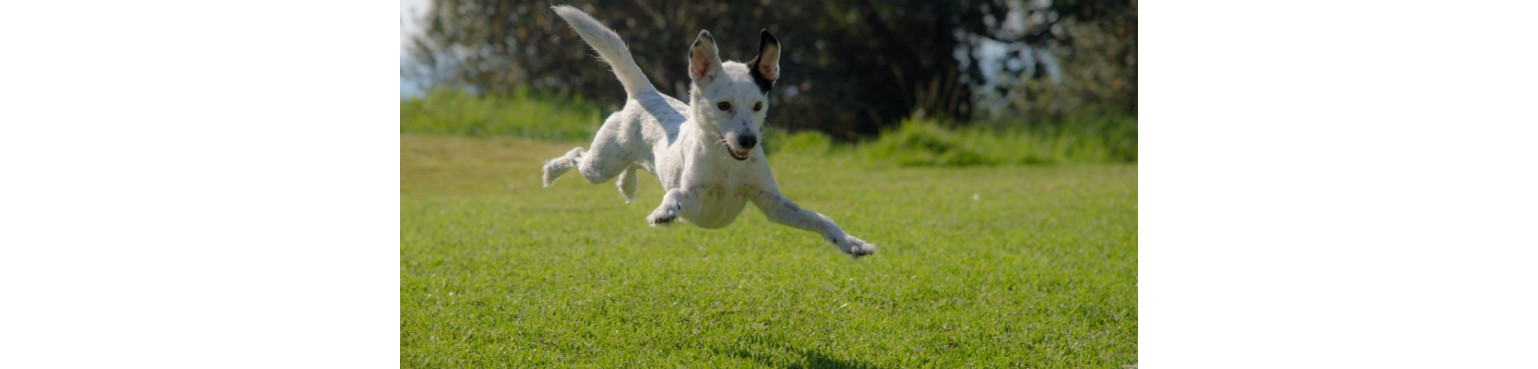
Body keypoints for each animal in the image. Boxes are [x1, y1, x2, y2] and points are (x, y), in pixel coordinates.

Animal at [541, 5, 879, 256]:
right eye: (724, 105)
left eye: (758, 105)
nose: (748, 140)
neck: (728, 164)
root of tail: (646, 94)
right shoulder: (695, 198)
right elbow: (675, 193)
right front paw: (664, 211)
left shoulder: (773, 204)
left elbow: (820, 218)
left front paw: (852, 242)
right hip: (600, 165)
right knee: (577, 154)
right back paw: (551, 172)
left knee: (631, 166)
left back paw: (627, 184)